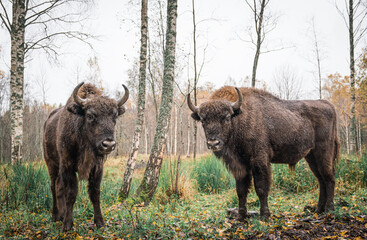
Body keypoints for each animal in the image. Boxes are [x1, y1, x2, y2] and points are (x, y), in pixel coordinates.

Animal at [43, 82, 129, 231]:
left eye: (115, 116)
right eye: (90, 115)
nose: (108, 144)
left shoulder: (97, 168)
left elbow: (95, 193)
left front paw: (100, 222)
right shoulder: (67, 166)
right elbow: (71, 193)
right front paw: (67, 225)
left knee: (59, 187)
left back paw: (62, 214)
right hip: (51, 164)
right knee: (54, 187)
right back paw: (55, 216)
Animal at [190, 86, 340, 219]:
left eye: (227, 117)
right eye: (203, 120)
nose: (213, 143)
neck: (239, 117)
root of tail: (330, 105)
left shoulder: (259, 161)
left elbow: (261, 188)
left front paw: (265, 215)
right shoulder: (240, 166)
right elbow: (241, 190)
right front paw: (241, 217)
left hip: (324, 152)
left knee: (329, 178)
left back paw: (329, 210)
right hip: (311, 156)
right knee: (321, 180)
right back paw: (318, 210)